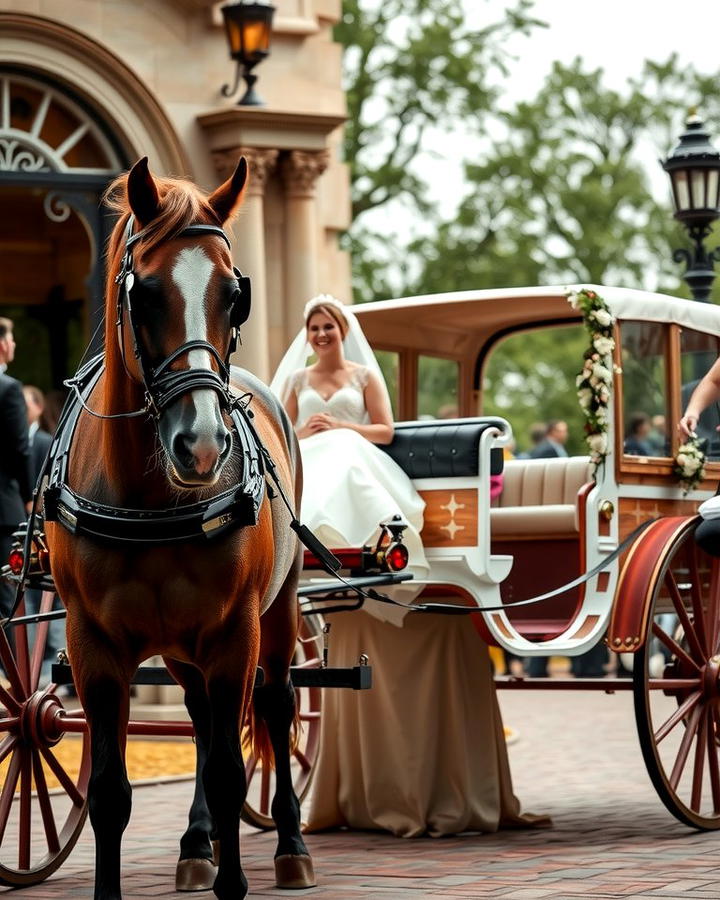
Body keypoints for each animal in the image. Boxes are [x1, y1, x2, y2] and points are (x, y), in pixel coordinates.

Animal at [43, 156, 314, 900]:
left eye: (234, 294)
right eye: (145, 293)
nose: (201, 444)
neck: (148, 495)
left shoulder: (234, 632)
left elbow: (229, 771)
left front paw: (236, 880)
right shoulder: (91, 643)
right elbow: (110, 791)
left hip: (278, 612)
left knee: (276, 706)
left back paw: (290, 845)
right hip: (179, 648)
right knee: (196, 718)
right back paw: (197, 844)